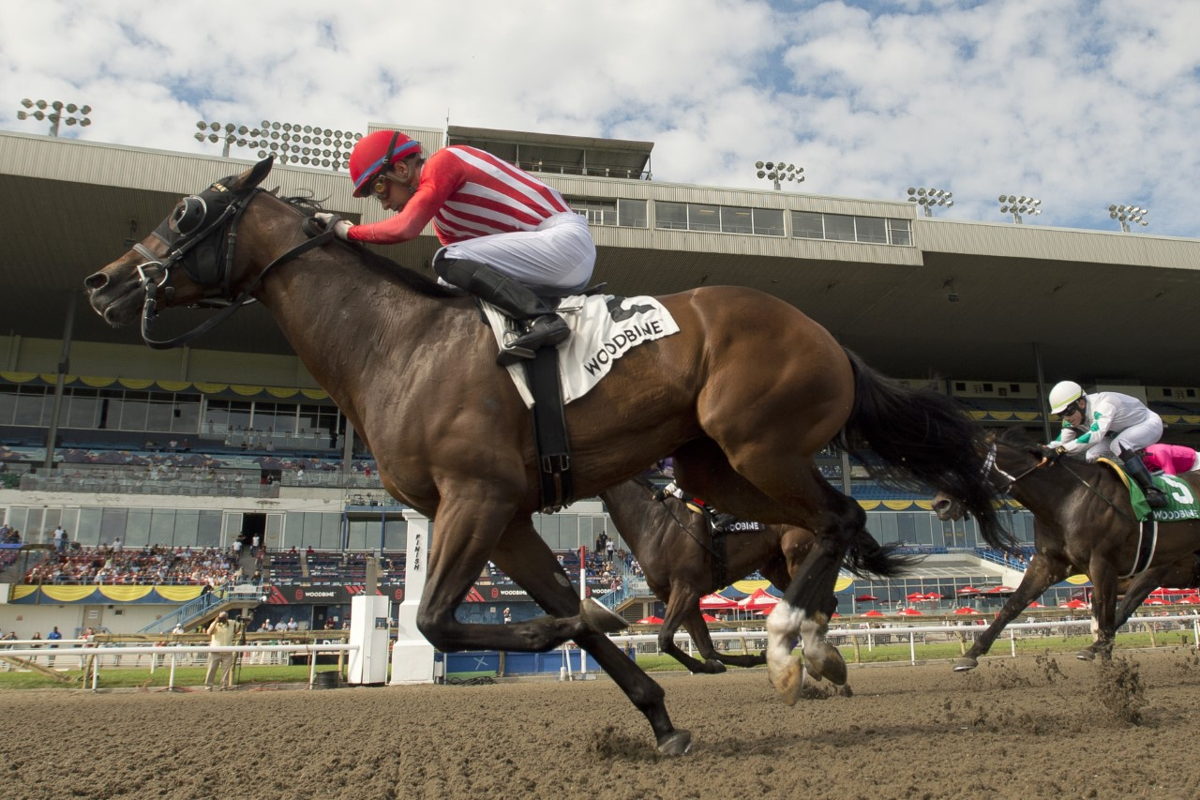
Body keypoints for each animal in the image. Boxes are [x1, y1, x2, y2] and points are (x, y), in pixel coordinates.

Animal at [84, 159, 1012, 753]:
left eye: (186, 214)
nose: (102, 283)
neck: (397, 345)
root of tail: (823, 332)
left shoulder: (476, 499)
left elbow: (442, 619)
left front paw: (603, 623)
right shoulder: (503, 519)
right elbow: (562, 615)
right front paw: (659, 716)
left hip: (757, 441)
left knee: (839, 516)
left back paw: (791, 647)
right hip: (715, 462)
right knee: (829, 523)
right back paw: (809, 648)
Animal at [931, 429, 1200, 671]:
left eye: (968, 464)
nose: (940, 504)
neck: (1065, 499)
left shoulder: (1103, 564)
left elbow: (1106, 616)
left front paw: (1104, 664)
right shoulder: (1049, 564)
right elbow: (1012, 605)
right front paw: (970, 655)